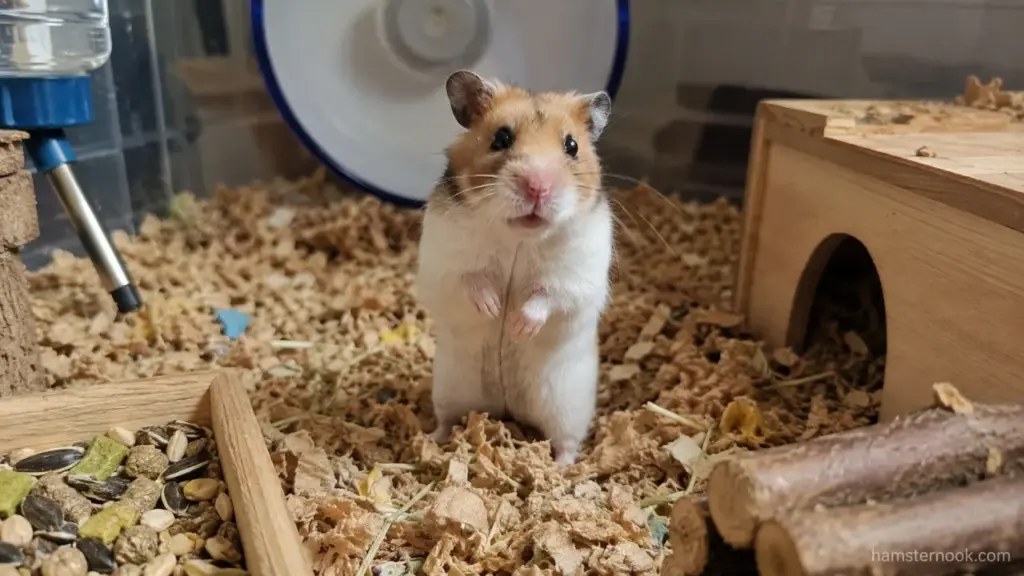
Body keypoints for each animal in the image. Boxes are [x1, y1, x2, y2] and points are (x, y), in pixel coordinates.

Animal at [415, 70, 615, 466]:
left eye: (572, 146)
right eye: (501, 138)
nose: (538, 187)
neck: (519, 237)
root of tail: (506, 407)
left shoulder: (577, 276)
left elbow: (547, 296)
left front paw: (518, 325)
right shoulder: (442, 260)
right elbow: (471, 279)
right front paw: (495, 309)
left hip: (566, 406)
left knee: (566, 442)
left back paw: (561, 469)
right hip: (449, 388)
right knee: (447, 420)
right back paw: (434, 440)